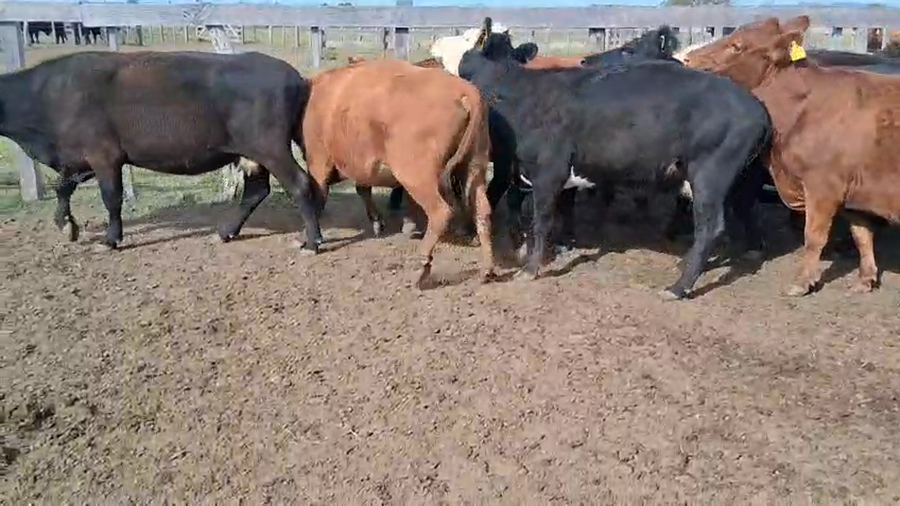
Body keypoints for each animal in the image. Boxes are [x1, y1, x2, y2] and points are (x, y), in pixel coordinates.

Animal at [0, 51, 323, 252]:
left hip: (270, 147)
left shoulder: (104, 155)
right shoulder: (77, 158)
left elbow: (111, 198)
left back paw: (312, 241)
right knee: (256, 191)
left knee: (300, 184)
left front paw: (110, 239)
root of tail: (296, 77)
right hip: (252, 154)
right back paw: (226, 232)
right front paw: (66, 224)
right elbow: (63, 187)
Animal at [300, 58, 494, 287]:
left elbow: (319, 198)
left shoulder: (318, 162)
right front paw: (377, 222)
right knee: (482, 211)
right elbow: (362, 189)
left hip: (417, 177)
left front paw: (310, 243)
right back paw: (487, 270)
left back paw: (420, 267)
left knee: (440, 212)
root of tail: (465, 91)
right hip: (474, 168)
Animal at [458, 17, 772, 300]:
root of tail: (756, 106)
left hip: (710, 174)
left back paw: (678, 287)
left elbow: (542, 219)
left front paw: (531, 269)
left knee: (710, 226)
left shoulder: (549, 171)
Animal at [683, 15, 900, 296]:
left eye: (737, 46)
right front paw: (865, 280)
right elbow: (862, 234)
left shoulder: (823, 185)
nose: (687, 58)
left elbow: (814, 236)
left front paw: (802, 282)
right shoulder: (854, 192)